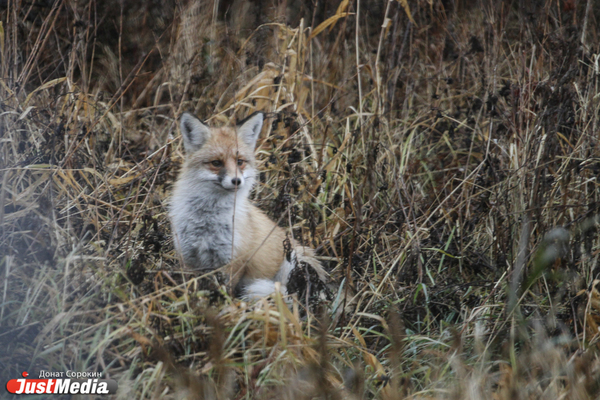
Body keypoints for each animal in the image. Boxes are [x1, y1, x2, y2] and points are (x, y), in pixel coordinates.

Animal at [169, 111, 328, 298]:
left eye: (240, 161)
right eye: (216, 163)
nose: (236, 181)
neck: (207, 221)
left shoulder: (233, 260)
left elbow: (225, 292)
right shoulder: (187, 257)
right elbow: (189, 289)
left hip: (292, 262)